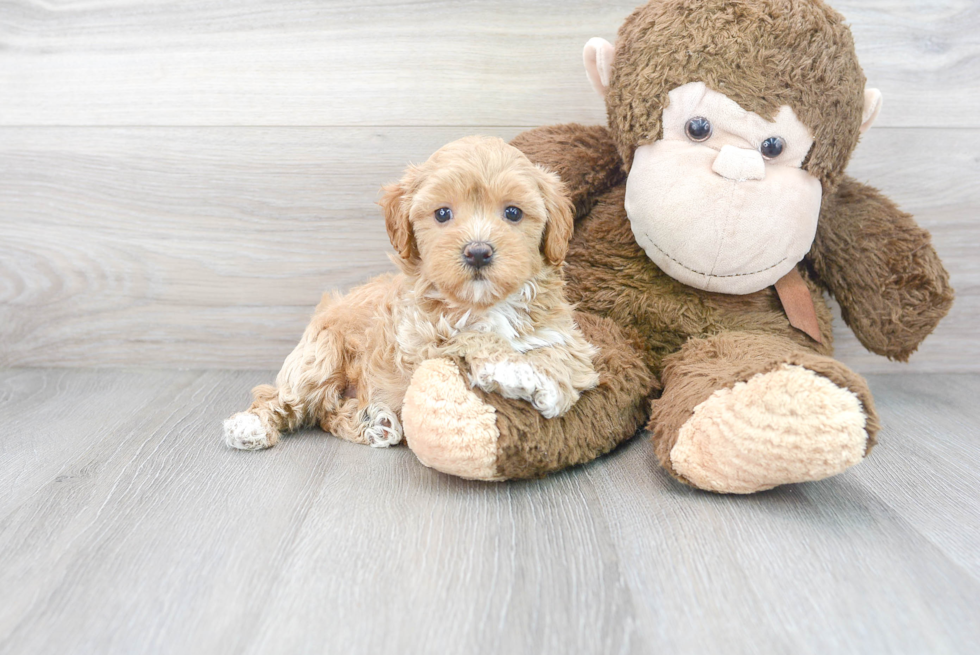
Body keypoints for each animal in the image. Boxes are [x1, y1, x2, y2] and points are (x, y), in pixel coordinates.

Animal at [224, 134, 596, 452]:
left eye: (513, 212)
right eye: (443, 213)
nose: (478, 252)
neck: (483, 305)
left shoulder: (563, 334)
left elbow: (567, 356)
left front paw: (550, 385)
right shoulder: (418, 341)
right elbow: (470, 336)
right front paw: (511, 367)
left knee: (326, 414)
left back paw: (374, 423)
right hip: (320, 354)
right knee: (288, 400)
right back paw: (250, 425)